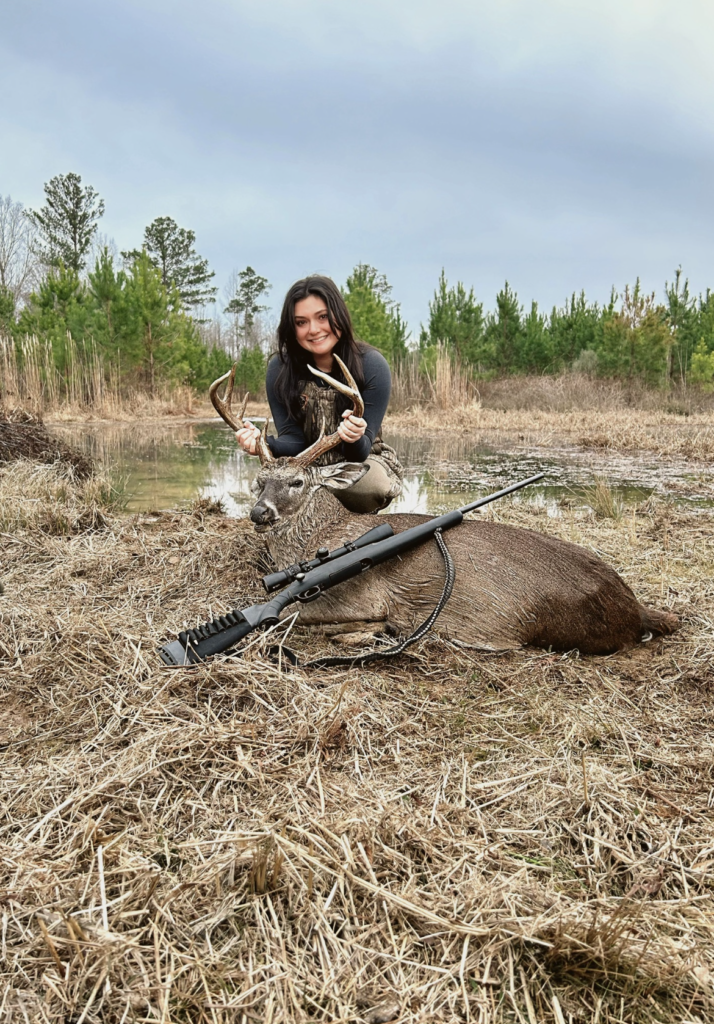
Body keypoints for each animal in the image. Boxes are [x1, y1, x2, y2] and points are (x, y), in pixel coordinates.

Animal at [212, 360, 680, 655]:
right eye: (258, 482)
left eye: (296, 482)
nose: (260, 513)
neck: (322, 538)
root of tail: (634, 607)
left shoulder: (361, 597)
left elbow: (290, 615)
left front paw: (364, 632)